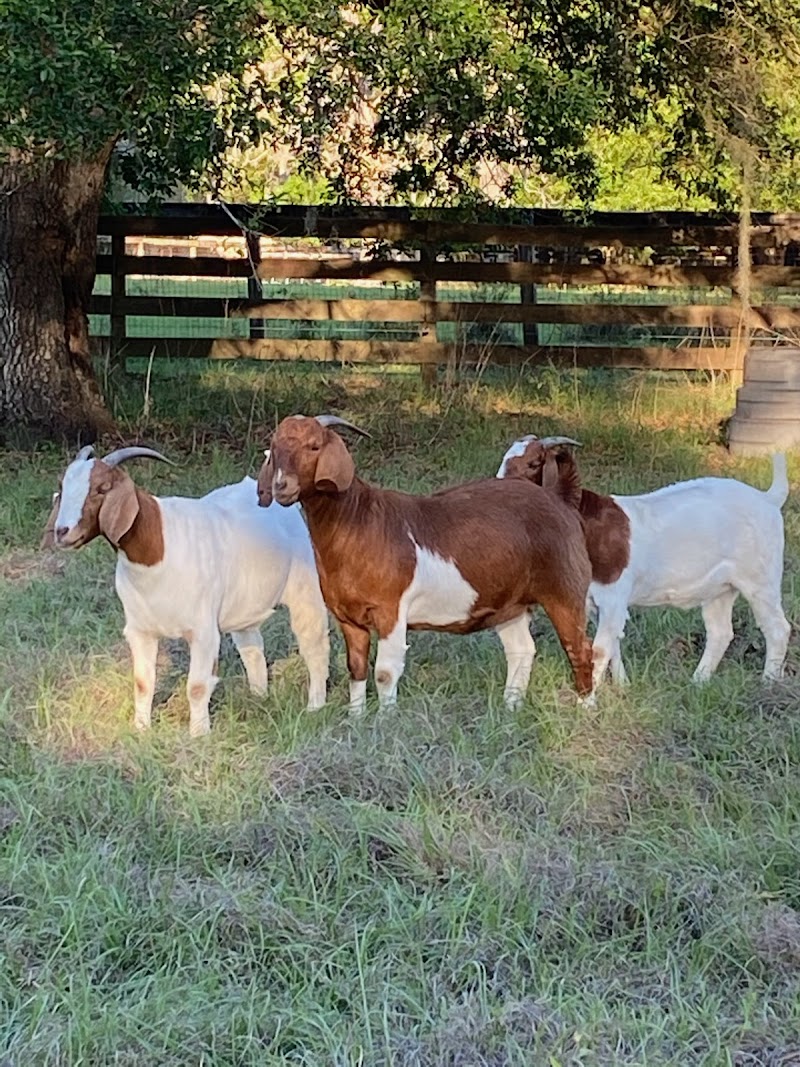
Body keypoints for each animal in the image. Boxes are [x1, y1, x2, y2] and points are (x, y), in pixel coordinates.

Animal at [42, 445, 330, 736]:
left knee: (314, 644)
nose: (62, 531)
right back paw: (258, 698)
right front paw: (141, 730)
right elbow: (143, 683)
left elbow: (197, 686)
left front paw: (198, 734)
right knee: (252, 649)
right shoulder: (140, 630)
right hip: (245, 603)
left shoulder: (203, 631)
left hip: (305, 588)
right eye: (62, 486)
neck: (159, 548)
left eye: (102, 488)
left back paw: (315, 705)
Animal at [256, 414, 595, 711]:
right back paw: (511, 707)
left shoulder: (391, 610)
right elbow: (357, 668)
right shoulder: (348, 618)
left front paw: (385, 720)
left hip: (565, 588)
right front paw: (356, 717)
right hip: (510, 603)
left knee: (580, 647)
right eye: (274, 446)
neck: (359, 521)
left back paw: (586, 707)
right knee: (521, 649)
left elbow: (385, 672)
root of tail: (560, 501)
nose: (281, 486)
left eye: (314, 446)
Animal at [497, 435, 791, 688]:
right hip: (720, 588)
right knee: (720, 632)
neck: (584, 522)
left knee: (777, 628)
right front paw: (622, 686)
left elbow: (600, 649)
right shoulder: (593, 600)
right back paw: (698, 682)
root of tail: (767, 498)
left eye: (534, 463)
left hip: (760, 578)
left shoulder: (613, 596)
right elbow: (612, 644)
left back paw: (768, 683)